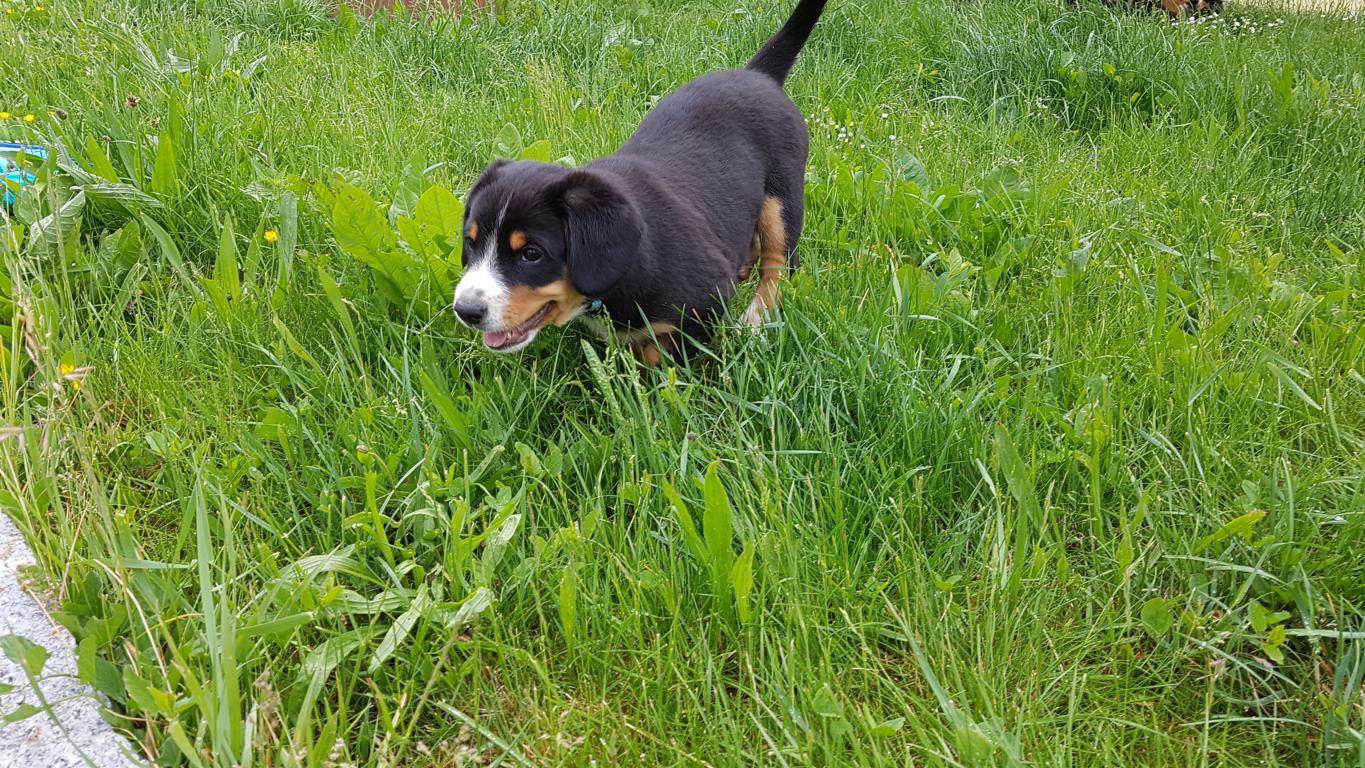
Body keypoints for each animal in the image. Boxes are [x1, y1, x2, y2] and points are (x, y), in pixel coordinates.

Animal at [451, 0, 829, 365]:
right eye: (471, 242)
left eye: (531, 254)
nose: (465, 311)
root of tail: (757, 74)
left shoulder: (702, 308)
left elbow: (675, 362)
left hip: (782, 199)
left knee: (779, 265)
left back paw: (753, 322)